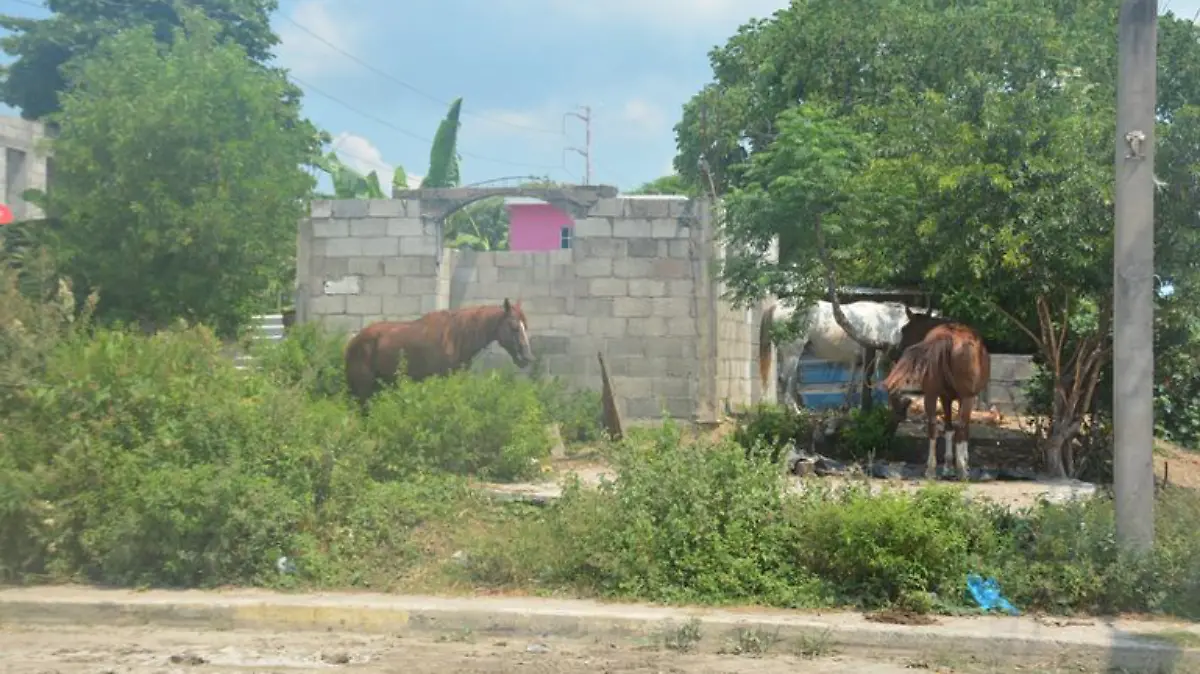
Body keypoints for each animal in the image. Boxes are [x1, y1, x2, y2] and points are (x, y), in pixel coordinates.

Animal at [348, 298, 535, 410]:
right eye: (514, 327)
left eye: (525, 326)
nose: (527, 358)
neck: (456, 337)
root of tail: (353, 341)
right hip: (364, 387)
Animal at [753, 298, 931, 410]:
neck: (885, 322)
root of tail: (777, 306)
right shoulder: (873, 357)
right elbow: (871, 380)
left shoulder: (858, 360)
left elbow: (853, 382)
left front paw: (848, 405)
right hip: (792, 353)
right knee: (784, 379)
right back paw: (793, 411)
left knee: (789, 380)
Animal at [883, 307, 993, 479]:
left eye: (904, 329)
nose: (895, 353)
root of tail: (947, 336)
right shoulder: (965, 398)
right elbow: (963, 429)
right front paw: (962, 463)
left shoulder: (944, 397)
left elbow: (948, 428)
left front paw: (947, 466)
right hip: (965, 397)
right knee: (960, 428)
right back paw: (961, 470)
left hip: (931, 395)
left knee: (933, 427)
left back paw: (931, 469)